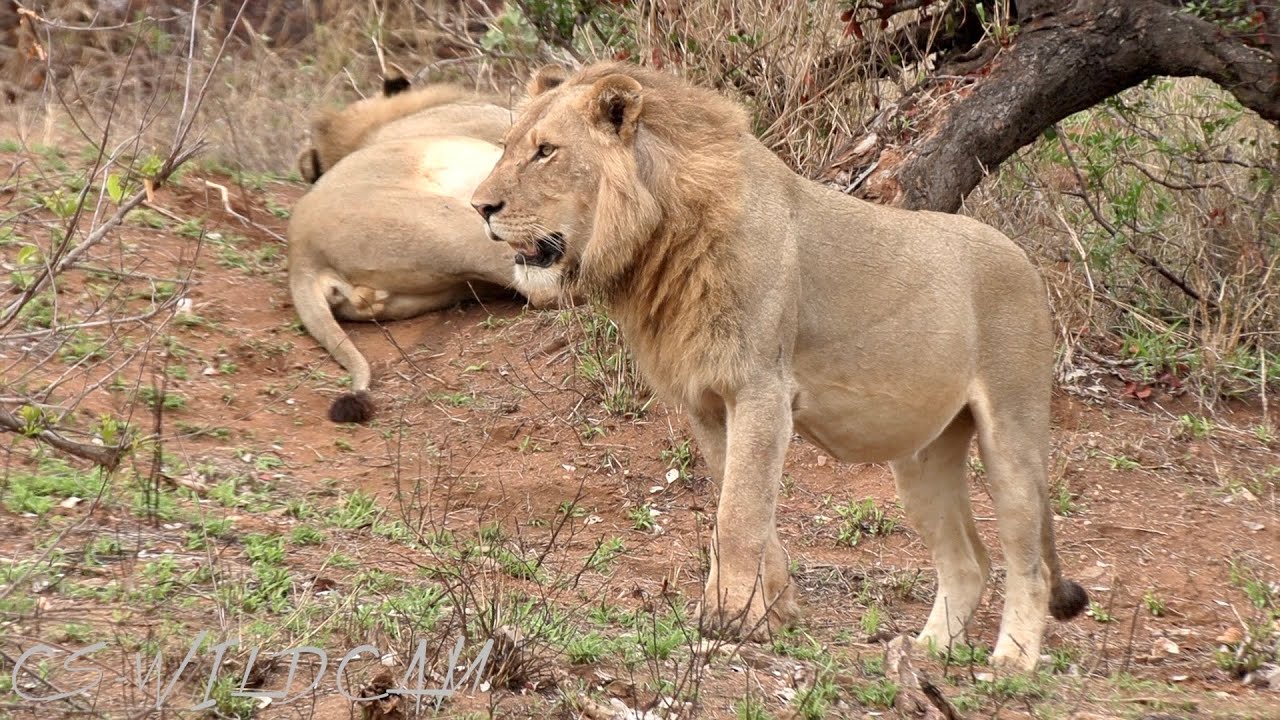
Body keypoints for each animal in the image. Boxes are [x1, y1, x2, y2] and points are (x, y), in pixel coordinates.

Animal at [469, 62, 1089, 671]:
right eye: (508, 146)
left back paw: (1011, 662)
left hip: (1012, 428)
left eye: (546, 151)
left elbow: (738, 515)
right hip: (924, 456)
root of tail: (1027, 262)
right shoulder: (707, 404)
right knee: (969, 561)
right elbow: (746, 512)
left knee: (1029, 561)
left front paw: (726, 621)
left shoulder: (761, 390)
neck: (657, 240)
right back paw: (927, 649)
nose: (480, 208)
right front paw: (772, 614)